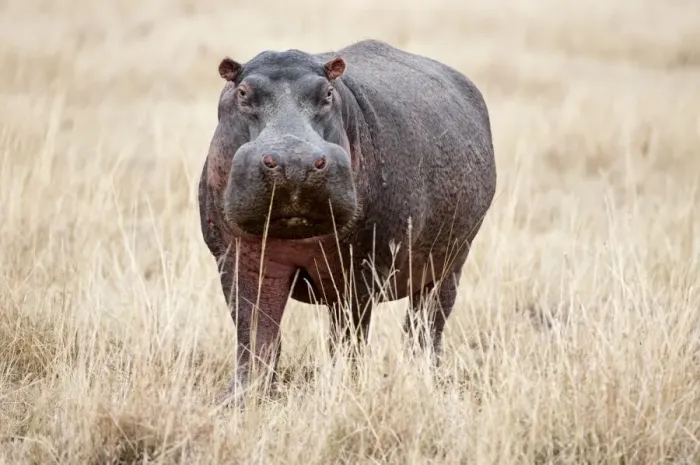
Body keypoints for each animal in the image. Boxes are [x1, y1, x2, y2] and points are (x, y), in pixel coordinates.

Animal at [198, 39, 497, 401]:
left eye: (327, 92)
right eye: (242, 92)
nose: (294, 161)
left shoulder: (360, 266)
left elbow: (347, 336)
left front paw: (343, 389)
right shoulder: (240, 257)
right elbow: (255, 330)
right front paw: (239, 398)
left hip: (451, 262)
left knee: (426, 324)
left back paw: (425, 379)